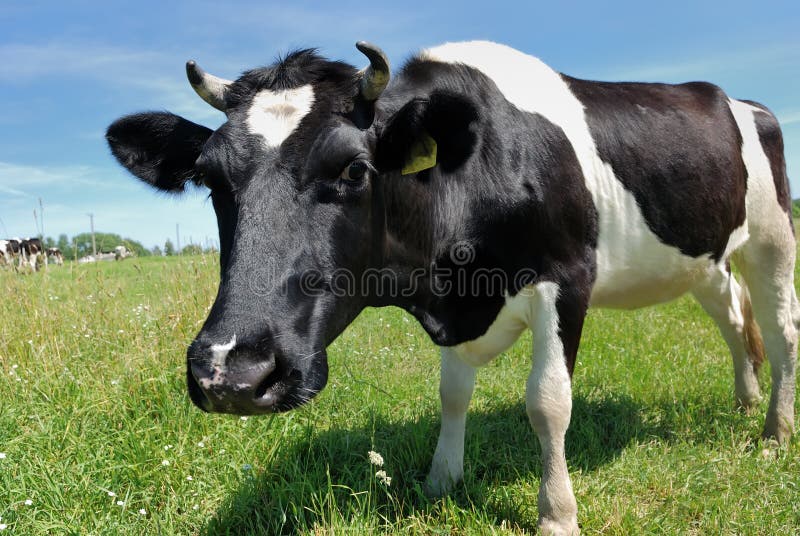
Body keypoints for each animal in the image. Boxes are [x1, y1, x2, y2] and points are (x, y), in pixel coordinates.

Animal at [106, 41, 796, 534]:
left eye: (354, 168)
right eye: (210, 178)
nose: (231, 372)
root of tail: (740, 101)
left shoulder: (566, 278)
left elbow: (548, 402)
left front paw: (557, 514)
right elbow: (453, 394)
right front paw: (442, 480)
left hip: (773, 237)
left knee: (781, 330)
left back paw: (773, 431)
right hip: (705, 259)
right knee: (734, 320)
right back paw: (744, 400)